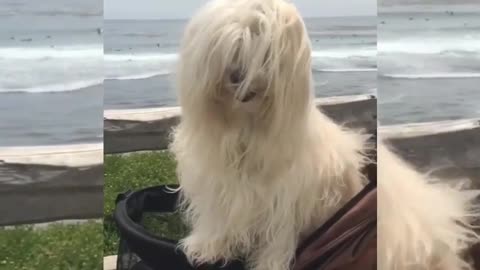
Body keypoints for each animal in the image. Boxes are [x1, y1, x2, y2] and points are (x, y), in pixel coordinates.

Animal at [169, 0, 480, 268]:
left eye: (264, 50)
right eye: (230, 46)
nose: (237, 76)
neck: (246, 125)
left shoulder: (285, 198)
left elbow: (276, 236)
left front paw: (269, 264)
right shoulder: (218, 185)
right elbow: (216, 218)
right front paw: (208, 248)